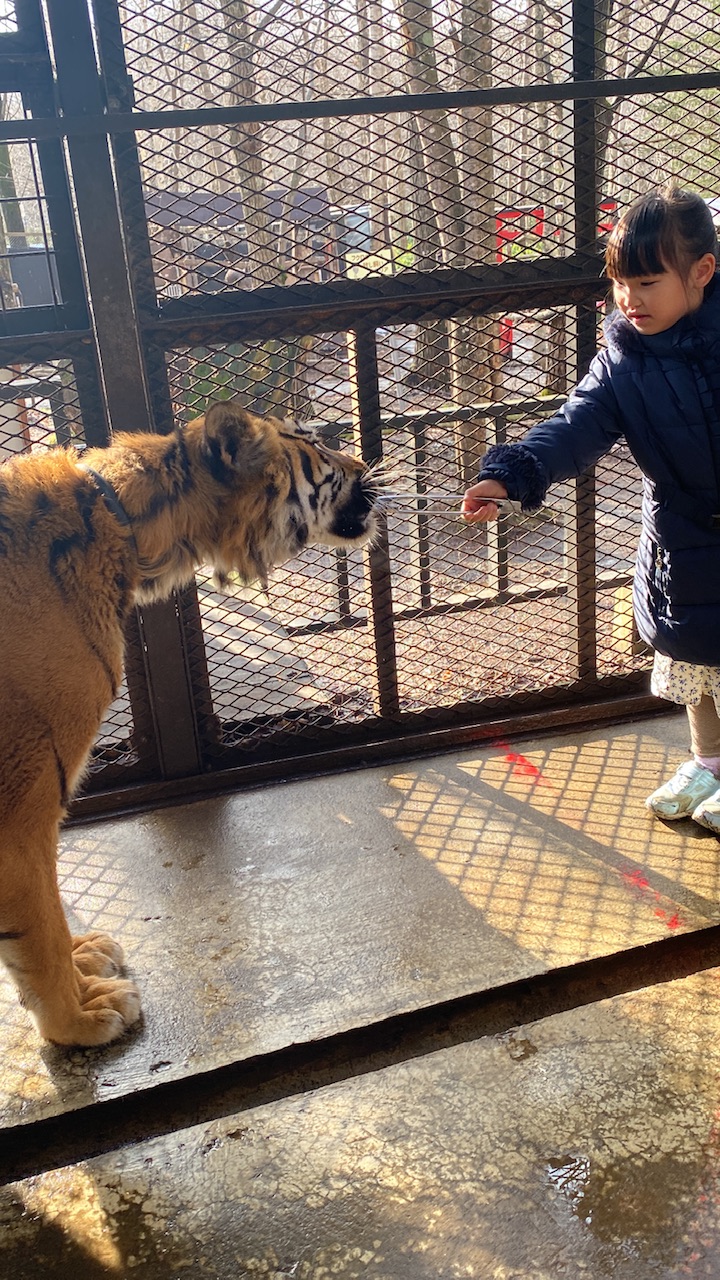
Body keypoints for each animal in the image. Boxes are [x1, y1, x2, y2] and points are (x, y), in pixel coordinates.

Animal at [0, 396, 379, 1039]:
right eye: (316, 448)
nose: (364, 464)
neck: (124, 531)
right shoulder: (21, 812)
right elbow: (39, 930)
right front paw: (79, 1020)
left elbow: (49, 917)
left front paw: (82, 961)